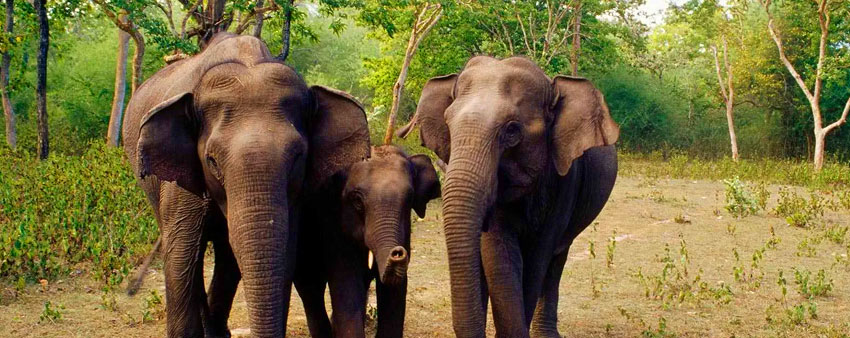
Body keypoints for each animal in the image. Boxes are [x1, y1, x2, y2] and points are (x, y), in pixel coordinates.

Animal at [122, 32, 368, 338]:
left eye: (299, 156)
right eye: (212, 161)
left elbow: (283, 253)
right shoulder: (180, 181)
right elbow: (180, 253)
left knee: (226, 258)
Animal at [294, 145, 440, 338]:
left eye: (409, 198)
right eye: (357, 201)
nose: (398, 253)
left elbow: (395, 289)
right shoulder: (333, 222)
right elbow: (346, 283)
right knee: (310, 287)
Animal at [400, 56, 620, 338]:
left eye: (512, 130)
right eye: (448, 124)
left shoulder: (567, 179)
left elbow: (537, 258)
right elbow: (499, 253)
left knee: (556, 260)